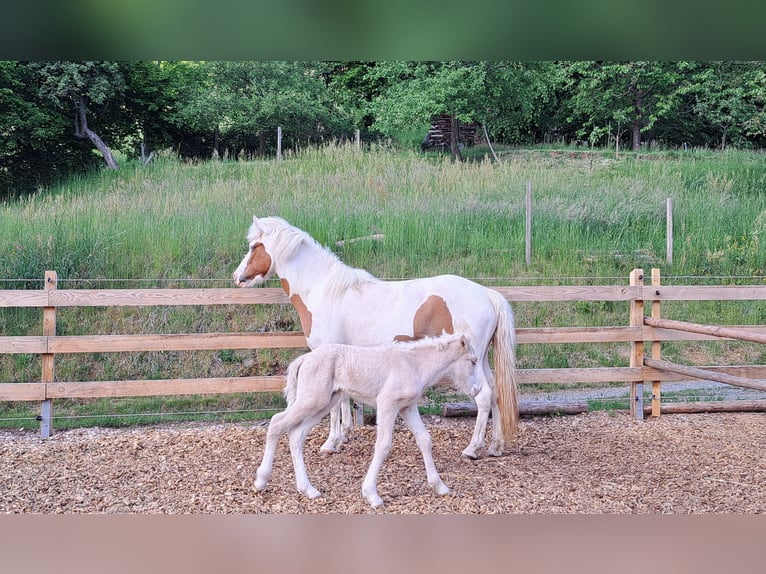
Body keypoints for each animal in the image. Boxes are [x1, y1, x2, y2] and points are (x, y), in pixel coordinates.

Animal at [233, 215, 518, 459]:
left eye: (255, 246)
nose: (237, 277)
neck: (324, 291)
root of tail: (486, 293)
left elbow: (335, 406)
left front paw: (330, 442)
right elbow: (344, 398)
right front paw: (344, 436)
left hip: (469, 364)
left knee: (483, 397)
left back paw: (472, 449)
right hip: (480, 360)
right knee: (495, 393)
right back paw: (495, 447)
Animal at [254, 333, 480, 507]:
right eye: (473, 361)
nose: (477, 390)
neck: (413, 365)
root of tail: (304, 359)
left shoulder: (407, 407)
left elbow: (425, 439)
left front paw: (439, 486)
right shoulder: (387, 405)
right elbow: (383, 445)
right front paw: (371, 494)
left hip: (323, 404)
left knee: (296, 435)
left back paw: (308, 489)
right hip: (312, 401)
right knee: (277, 422)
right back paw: (261, 481)